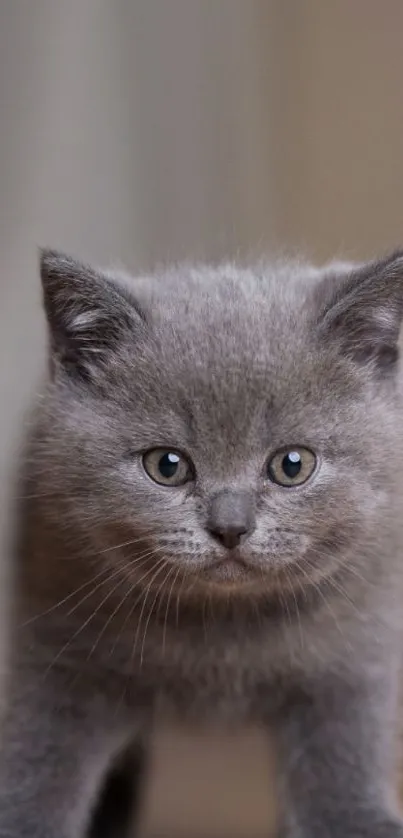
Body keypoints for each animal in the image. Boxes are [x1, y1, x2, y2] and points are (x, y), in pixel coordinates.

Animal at [2, 251, 403, 838]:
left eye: (292, 465)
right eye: (167, 465)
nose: (230, 526)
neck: (220, 635)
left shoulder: (353, 651)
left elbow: (343, 757)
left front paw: (357, 819)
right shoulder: (57, 644)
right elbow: (40, 761)